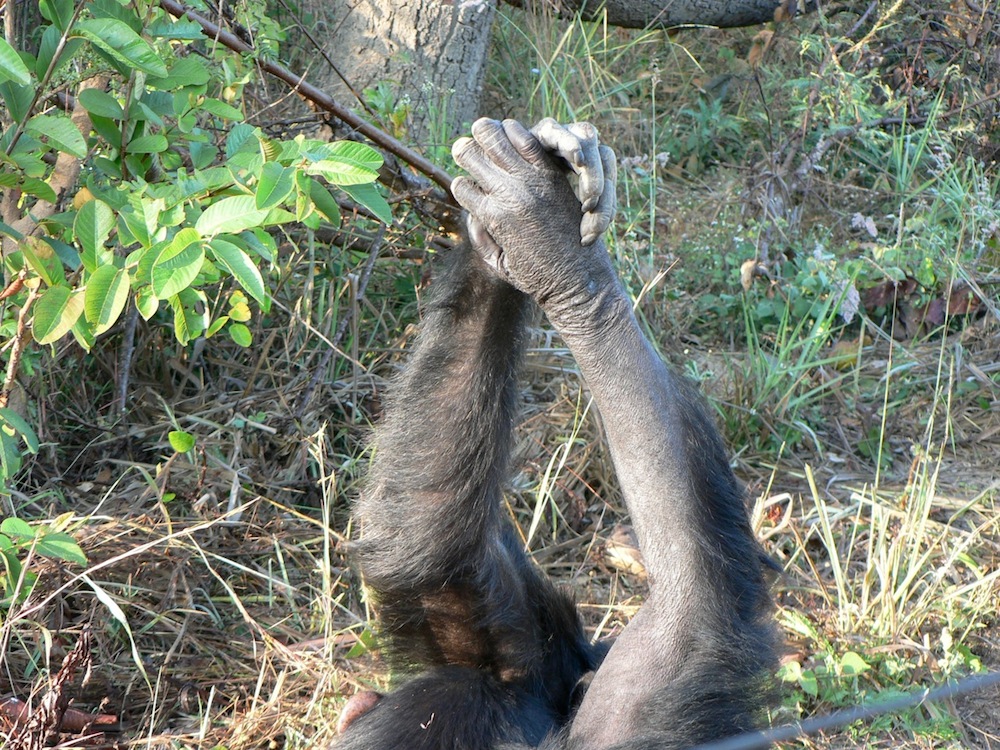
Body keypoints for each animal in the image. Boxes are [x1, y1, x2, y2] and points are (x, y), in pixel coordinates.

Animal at [336, 120, 772, 748]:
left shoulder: (643, 697)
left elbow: (689, 604)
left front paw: (555, 242)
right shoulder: (527, 651)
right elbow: (425, 548)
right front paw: (508, 220)